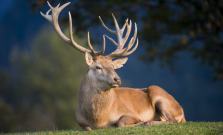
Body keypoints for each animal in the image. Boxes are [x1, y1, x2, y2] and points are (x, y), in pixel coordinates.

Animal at [40, 1, 186, 131]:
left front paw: (141, 122)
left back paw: (148, 122)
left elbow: (120, 123)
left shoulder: (130, 112)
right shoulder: (80, 122)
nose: (117, 79)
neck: (98, 119)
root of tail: (182, 110)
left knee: (172, 120)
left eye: (113, 67)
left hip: (158, 93)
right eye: (98, 67)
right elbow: (87, 128)